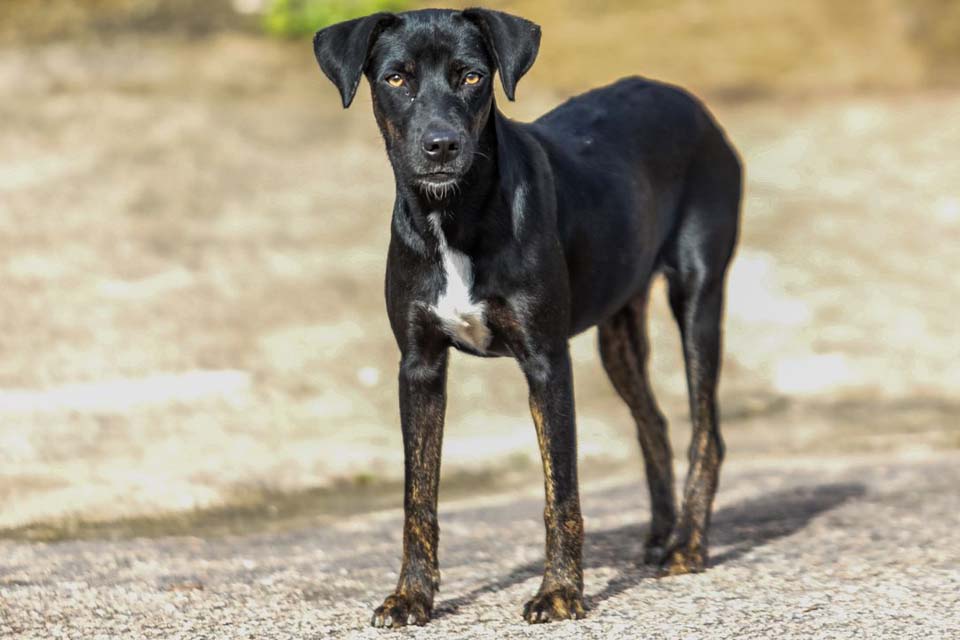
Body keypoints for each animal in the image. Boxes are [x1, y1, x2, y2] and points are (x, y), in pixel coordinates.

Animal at [314, 6, 744, 624]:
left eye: (471, 76)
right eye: (396, 78)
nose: (440, 146)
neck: (453, 216)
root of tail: (688, 100)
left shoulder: (546, 361)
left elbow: (559, 489)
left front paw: (560, 591)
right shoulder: (419, 366)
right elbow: (418, 495)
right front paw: (411, 596)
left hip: (698, 295)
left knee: (706, 432)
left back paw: (687, 544)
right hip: (618, 329)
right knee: (654, 425)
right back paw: (662, 534)